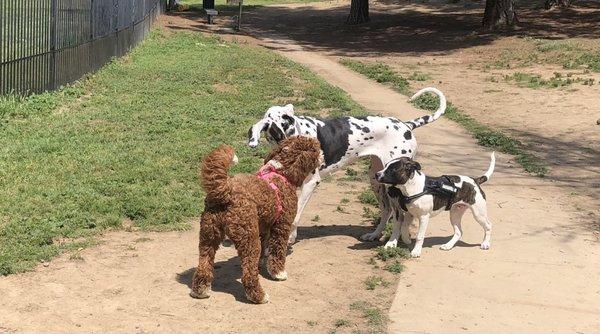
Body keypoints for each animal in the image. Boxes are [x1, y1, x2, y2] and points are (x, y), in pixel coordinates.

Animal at [246, 87, 448, 245]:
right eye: (278, 133)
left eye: (291, 128)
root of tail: (406, 125)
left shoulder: (310, 183)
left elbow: (295, 216)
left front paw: (290, 237)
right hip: (376, 179)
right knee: (387, 210)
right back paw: (375, 235)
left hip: (393, 184)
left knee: (398, 215)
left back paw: (391, 242)